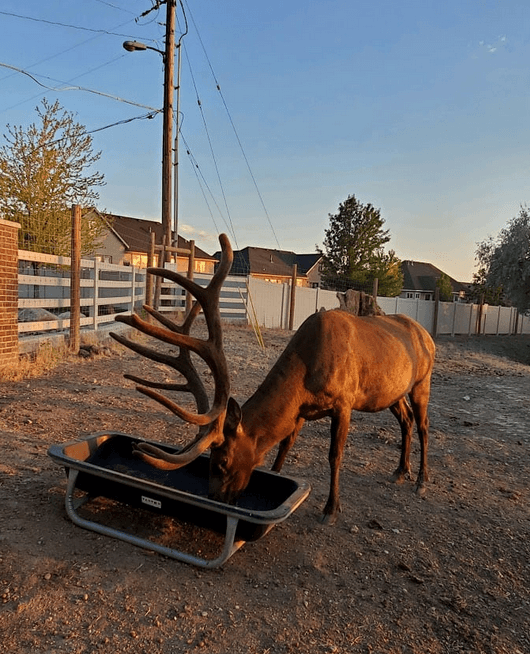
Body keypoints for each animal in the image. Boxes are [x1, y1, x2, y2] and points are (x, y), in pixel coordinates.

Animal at [110, 234, 436, 525]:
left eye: (222, 461)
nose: (216, 498)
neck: (306, 373)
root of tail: (427, 335)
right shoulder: (302, 409)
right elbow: (284, 446)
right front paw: (279, 478)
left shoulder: (344, 402)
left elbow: (335, 455)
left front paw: (331, 509)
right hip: (392, 392)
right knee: (406, 420)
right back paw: (400, 471)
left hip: (423, 381)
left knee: (423, 424)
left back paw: (421, 480)